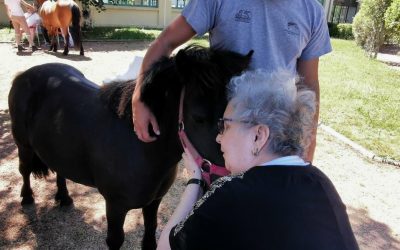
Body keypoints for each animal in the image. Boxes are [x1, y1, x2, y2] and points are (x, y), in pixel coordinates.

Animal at [7, 46, 252, 249]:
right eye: (198, 118)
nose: (233, 176)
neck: (141, 147)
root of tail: (25, 75)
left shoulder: (154, 202)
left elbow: (151, 234)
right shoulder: (115, 208)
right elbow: (116, 240)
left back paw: (64, 197)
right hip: (23, 146)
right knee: (24, 170)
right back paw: (27, 198)